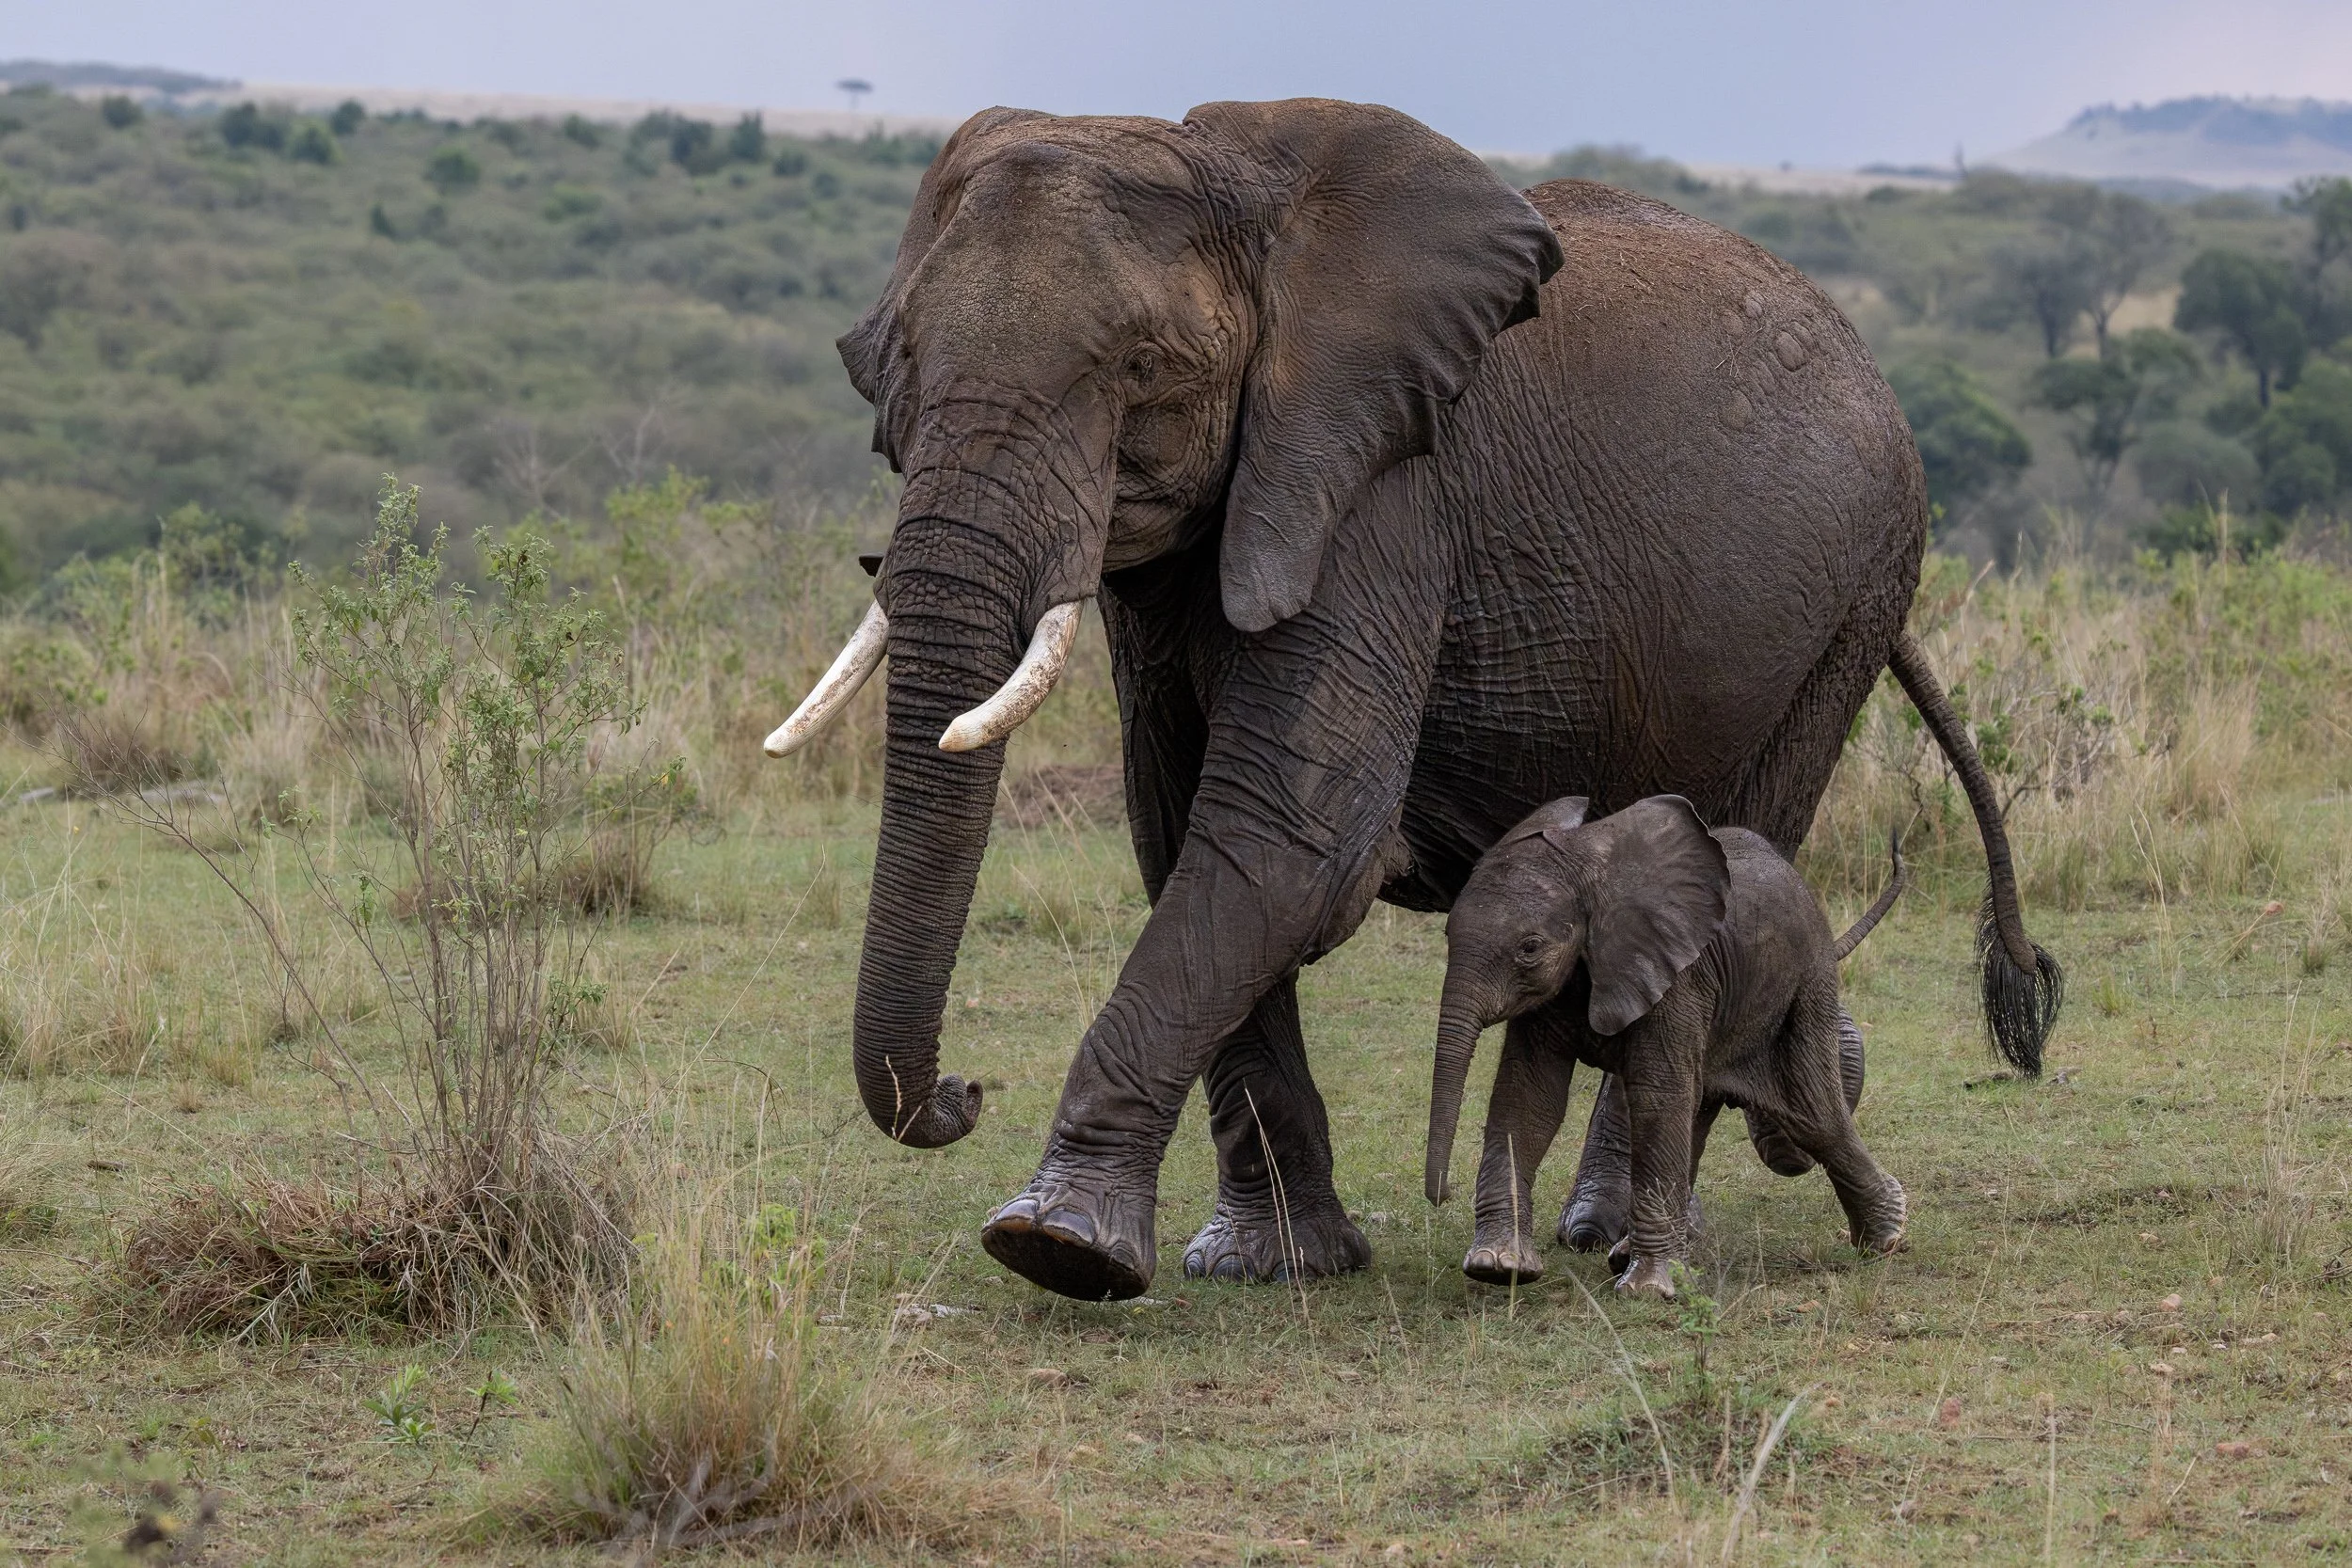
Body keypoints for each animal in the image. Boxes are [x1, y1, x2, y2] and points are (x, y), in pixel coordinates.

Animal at [1423, 796, 1909, 1297]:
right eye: (1447, 936)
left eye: (1530, 948)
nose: (1442, 1195)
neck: (1586, 868)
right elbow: (1529, 1100)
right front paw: (1498, 1266)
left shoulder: (1680, 979)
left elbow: (1657, 1098)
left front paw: (1646, 1291)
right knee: (1704, 1112)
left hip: (1804, 986)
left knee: (1813, 1113)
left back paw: (1885, 1236)